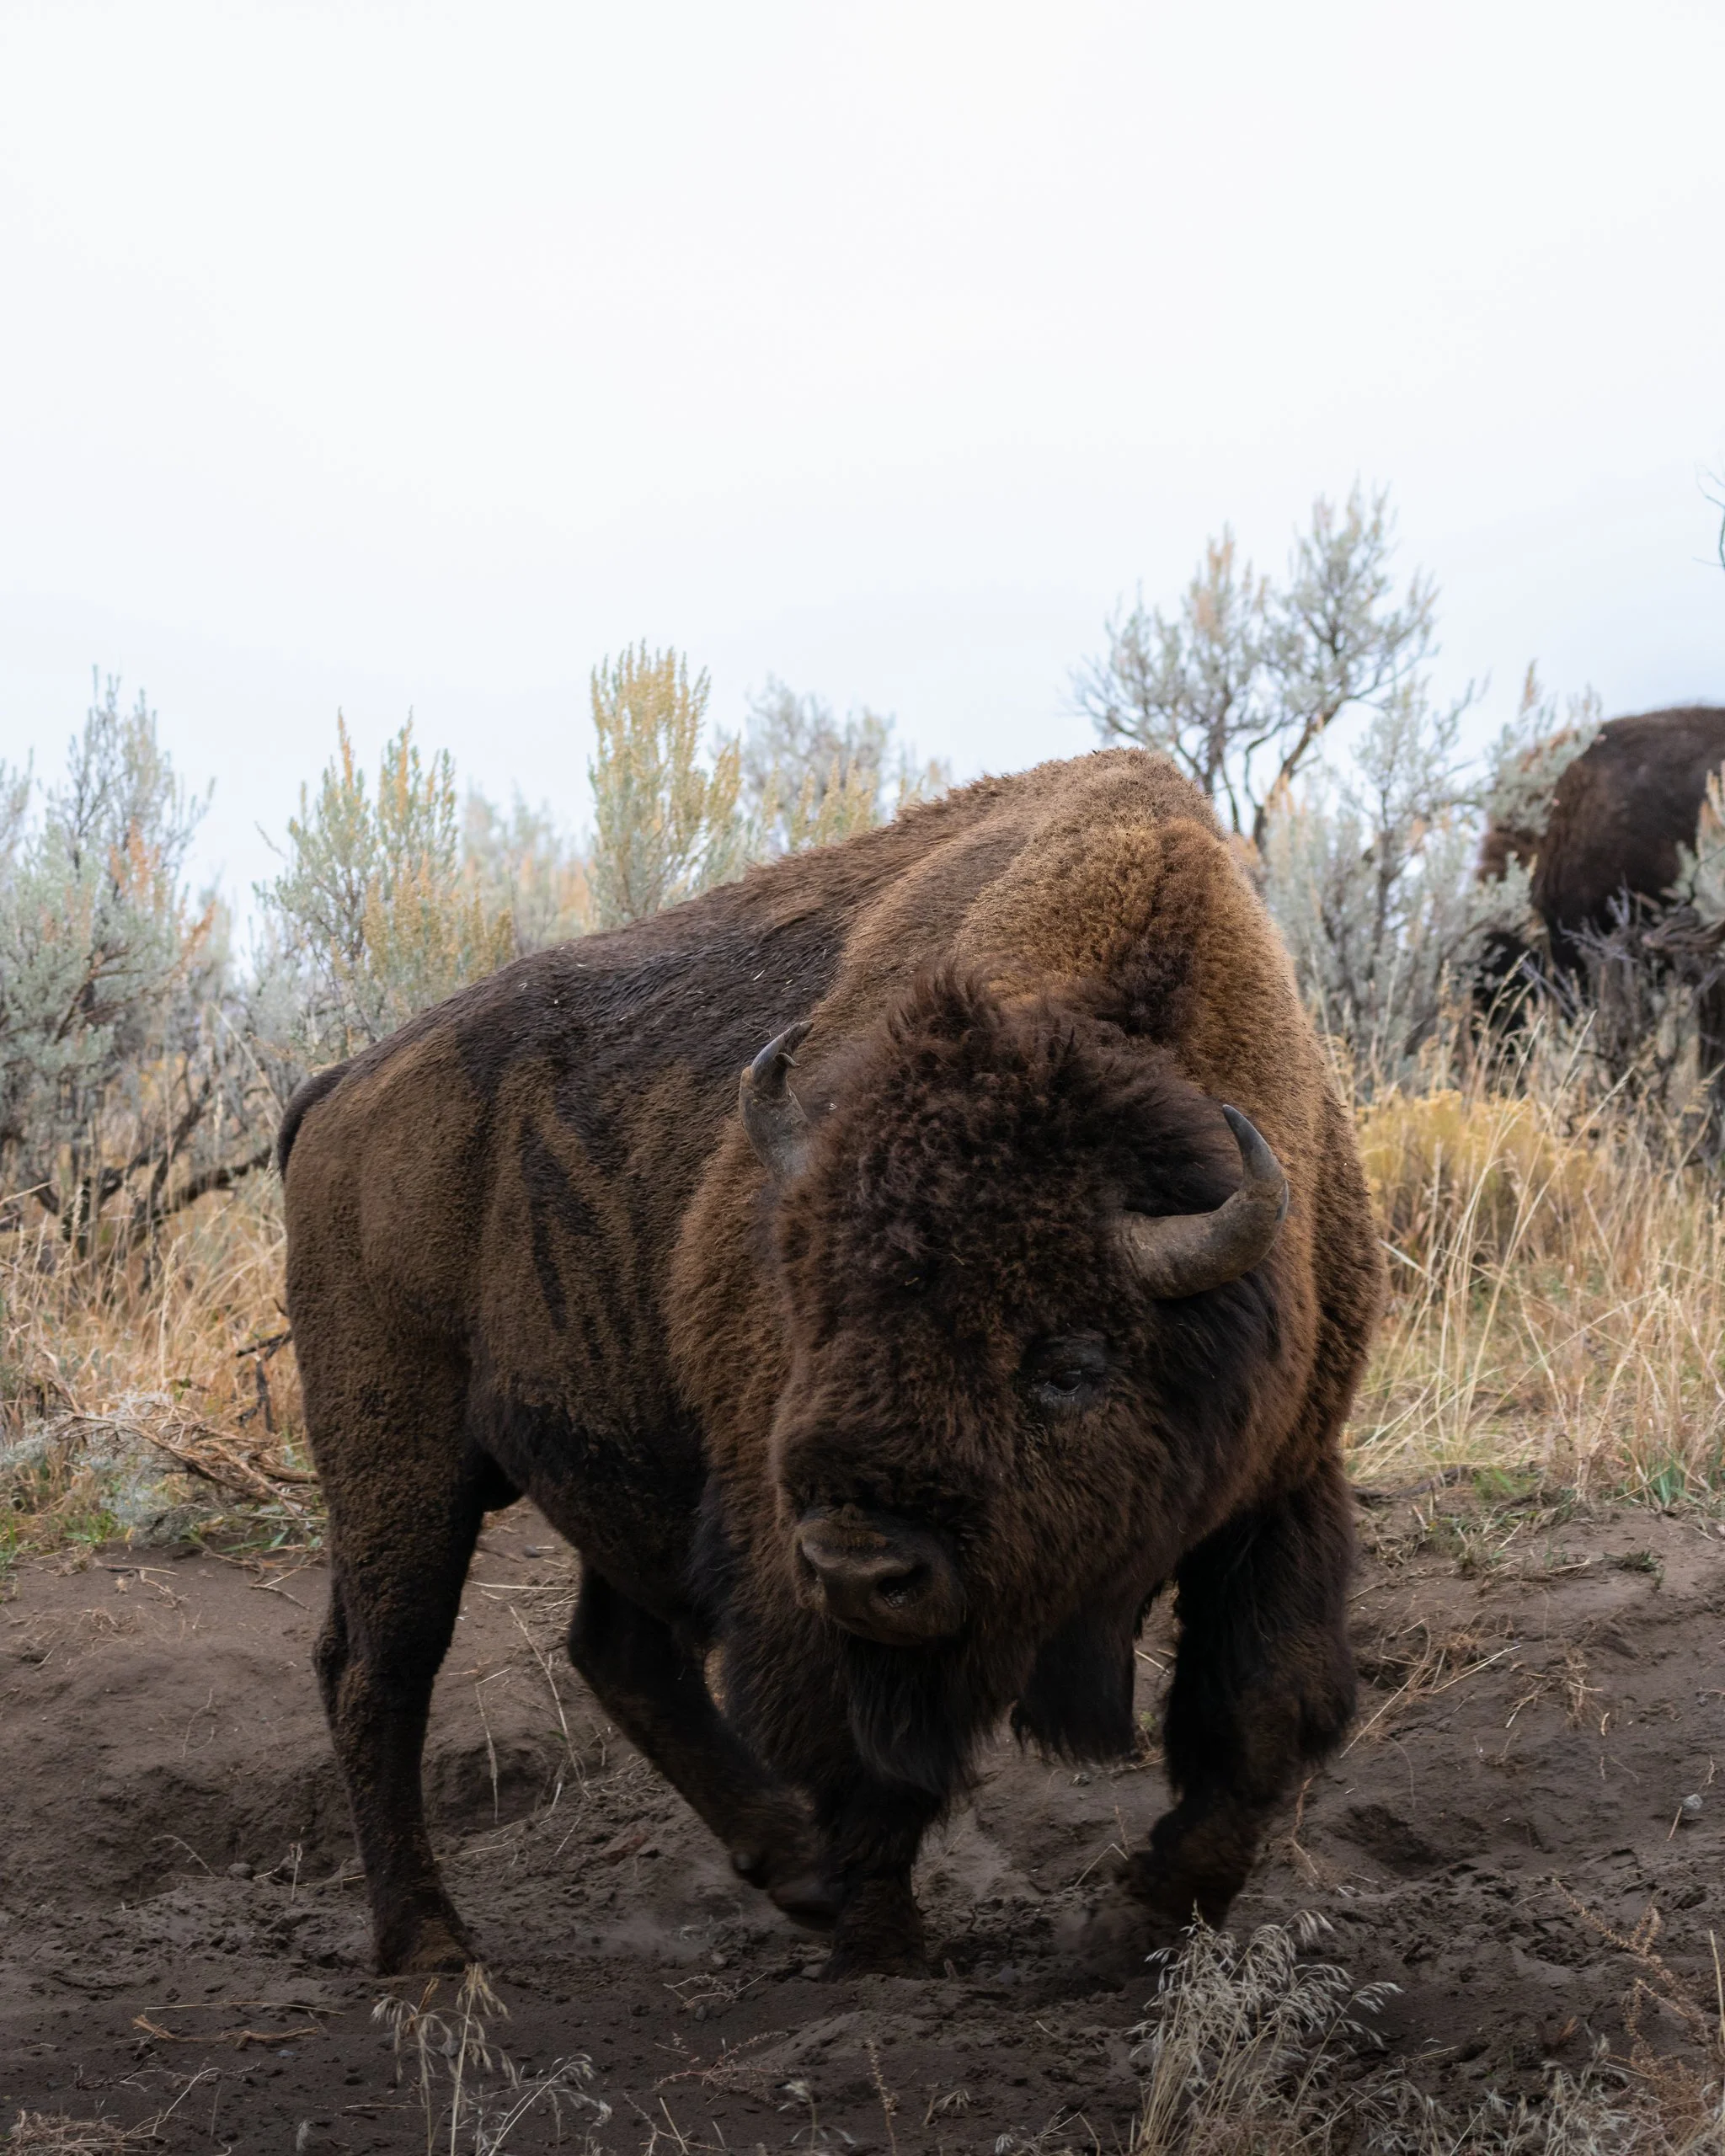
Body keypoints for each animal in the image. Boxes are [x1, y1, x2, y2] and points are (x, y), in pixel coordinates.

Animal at [280, 748, 1384, 1978]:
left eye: (1069, 1363)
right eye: (815, 1310)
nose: (865, 1566)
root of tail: (344, 1087)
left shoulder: (1278, 1484)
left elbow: (1263, 1709)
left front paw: (1133, 1921)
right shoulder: (785, 1535)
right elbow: (858, 1736)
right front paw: (888, 1941)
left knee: (617, 1653)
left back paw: (790, 1870)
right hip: (401, 1454)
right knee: (380, 1669)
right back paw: (430, 1945)